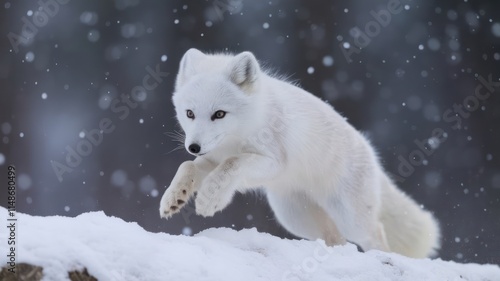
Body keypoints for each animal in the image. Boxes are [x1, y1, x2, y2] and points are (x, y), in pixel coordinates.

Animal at [160, 47, 442, 256]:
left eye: (219, 114)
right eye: (189, 113)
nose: (193, 146)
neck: (243, 130)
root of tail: (372, 155)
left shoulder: (273, 161)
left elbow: (232, 164)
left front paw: (210, 200)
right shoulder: (211, 158)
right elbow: (187, 166)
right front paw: (174, 197)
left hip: (350, 218)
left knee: (377, 236)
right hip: (295, 218)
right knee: (336, 239)